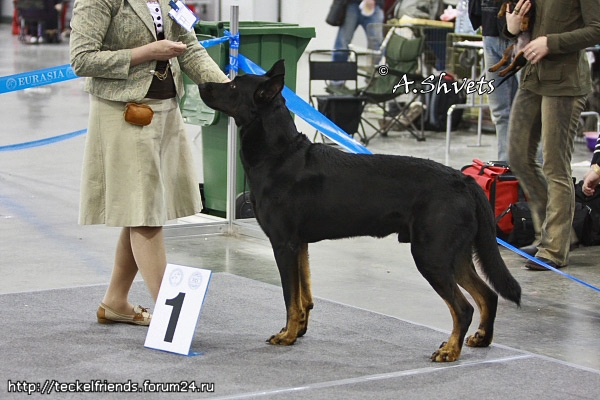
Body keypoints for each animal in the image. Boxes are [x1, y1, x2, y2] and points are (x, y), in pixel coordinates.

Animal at [199, 60, 524, 362]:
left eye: (232, 85)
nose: (202, 84)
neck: (278, 154)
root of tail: (465, 180)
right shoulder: (300, 245)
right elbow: (304, 296)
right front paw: (298, 330)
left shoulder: (284, 244)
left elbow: (290, 296)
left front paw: (287, 336)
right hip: (453, 254)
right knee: (487, 295)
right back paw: (480, 339)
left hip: (431, 254)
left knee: (463, 307)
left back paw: (450, 351)